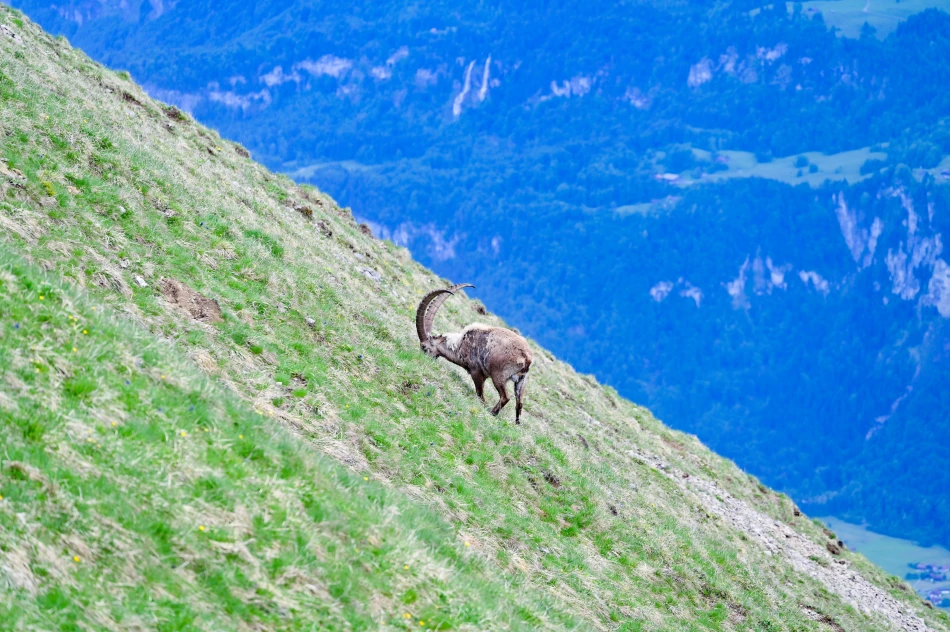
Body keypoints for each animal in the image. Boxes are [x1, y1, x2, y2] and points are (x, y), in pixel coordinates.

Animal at [416, 284, 533, 424]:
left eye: (424, 347)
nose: (422, 358)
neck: (460, 344)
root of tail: (527, 358)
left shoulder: (476, 371)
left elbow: (480, 394)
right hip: (521, 382)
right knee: (519, 403)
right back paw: (516, 422)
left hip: (498, 376)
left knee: (505, 397)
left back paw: (492, 413)